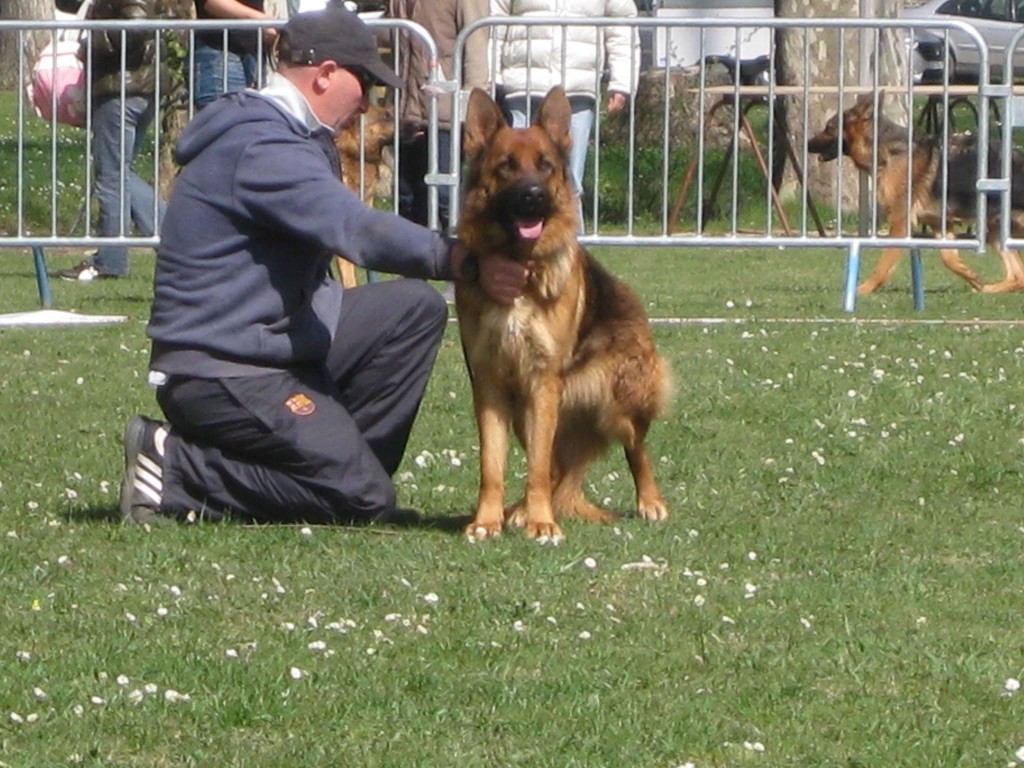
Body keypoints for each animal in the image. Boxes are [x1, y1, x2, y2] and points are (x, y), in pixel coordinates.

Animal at [455, 87, 672, 543]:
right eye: (506, 166)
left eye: (545, 166)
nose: (534, 195)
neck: (522, 269)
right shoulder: (491, 385)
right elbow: (492, 465)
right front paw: (488, 520)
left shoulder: (541, 382)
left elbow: (536, 467)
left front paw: (542, 523)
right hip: (528, 413)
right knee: (557, 470)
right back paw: (519, 511)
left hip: (620, 400)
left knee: (635, 449)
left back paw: (650, 502)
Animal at [807, 92, 1024, 294]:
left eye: (829, 128)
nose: (807, 144)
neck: (887, 151)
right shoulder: (939, 223)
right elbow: (948, 257)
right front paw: (971, 276)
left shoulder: (900, 221)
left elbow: (884, 263)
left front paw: (864, 289)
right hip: (996, 229)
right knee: (1018, 276)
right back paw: (990, 289)